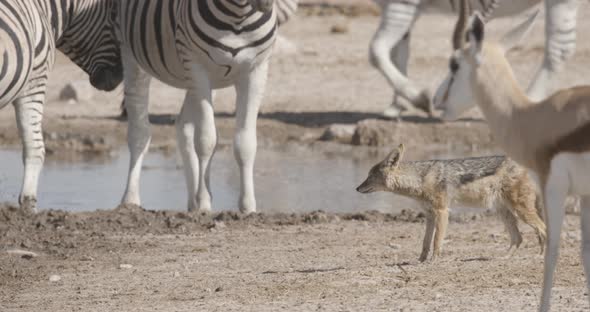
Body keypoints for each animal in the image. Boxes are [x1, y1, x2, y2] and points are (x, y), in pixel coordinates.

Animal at [117, 0, 280, 213]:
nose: (265, 3)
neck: (238, 16)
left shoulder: (256, 70)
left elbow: (245, 143)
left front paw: (248, 207)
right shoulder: (197, 66)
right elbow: (206, 141)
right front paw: (203, 202)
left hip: (198, 77)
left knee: (182, 125)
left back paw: (192, 202)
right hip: (132, 53)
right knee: (139, 132)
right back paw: (130, 200)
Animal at [372, 0, 580, 117]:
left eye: (454, 65)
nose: (436, 100)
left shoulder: (402, 5)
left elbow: (376, 52)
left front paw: (418, 98)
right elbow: (398, 53)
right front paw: (397, 105)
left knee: (559, 48)